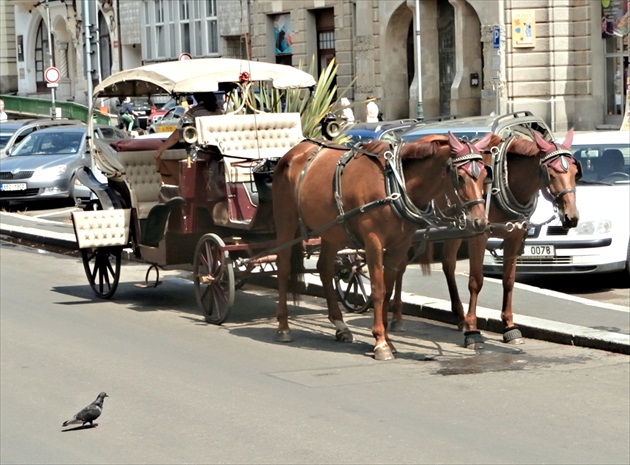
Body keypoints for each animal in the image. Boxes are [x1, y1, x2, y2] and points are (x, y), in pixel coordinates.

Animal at [274, 132, 502, 360]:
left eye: (485, 175)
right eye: (460, 177)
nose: (480, 222)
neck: (393, 184)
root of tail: (296, 150)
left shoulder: (399, 245)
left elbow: (388, 290)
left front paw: (387, 339)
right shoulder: (373, 242)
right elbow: (377, 288)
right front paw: (381, 342)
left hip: (332, 229)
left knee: (324, 268)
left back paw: (340, 326)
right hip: (287, 220)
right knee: (283, 267)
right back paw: (283, 327)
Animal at [390, 129, 584, 346]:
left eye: (575, 173)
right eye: (551, 174)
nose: (571, 217)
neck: (504, 179)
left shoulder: (514, 235)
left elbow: (509, 280)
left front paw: (509, 326)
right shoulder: (479, 235)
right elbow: (476, 281)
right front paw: (473, 331)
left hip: (454, 229)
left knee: (448, 264)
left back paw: (459, 316)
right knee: (400, 266)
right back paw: (397, 317)